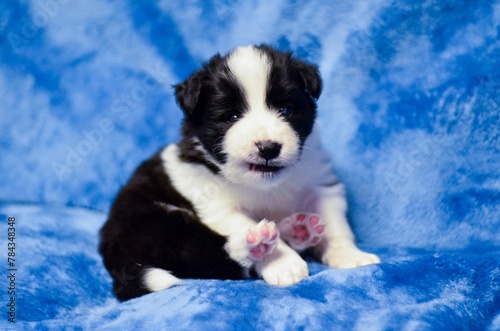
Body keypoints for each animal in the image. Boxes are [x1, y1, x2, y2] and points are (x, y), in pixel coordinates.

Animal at [99, 45, 380, 302]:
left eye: (286, 110)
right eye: (231, 116)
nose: (268, 148)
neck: (264, 185)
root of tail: (113, 257)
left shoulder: (321, 184)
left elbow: (335, 225)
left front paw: (350, 256)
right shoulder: (216, 205)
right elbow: (241, 224)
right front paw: (283, 262)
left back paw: (299, 230)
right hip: (155, 225)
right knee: (204, 254)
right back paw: (256, 243)